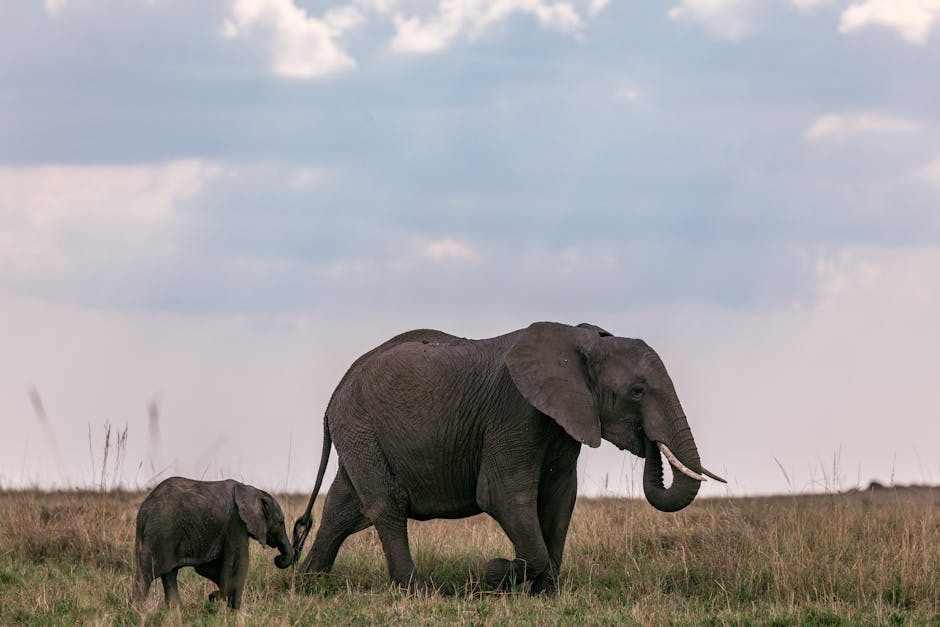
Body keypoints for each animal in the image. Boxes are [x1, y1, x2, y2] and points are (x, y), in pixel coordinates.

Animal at [129, 478, 290, 612]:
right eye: (280, 522)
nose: (279, 558)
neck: (251, 489)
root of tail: (142, 512)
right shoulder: (236, 523)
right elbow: (239, 562)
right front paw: (235, 613)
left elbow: (205, 568)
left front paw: (216, 597)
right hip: (162, 531)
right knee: (148, 572)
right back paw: (137, 612)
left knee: (169, 574)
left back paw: (176, 613)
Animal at [290, 322, 724, 596]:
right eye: (636, 391)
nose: (649, 443)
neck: (581, 341)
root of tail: (336, 391)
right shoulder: (515, 411)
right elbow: (502, 496)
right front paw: (493, 572)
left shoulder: (562, 420)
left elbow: (559, 500)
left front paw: (546, 596)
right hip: (361, 427)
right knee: (386, 506)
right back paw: (417, 593)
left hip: (360, 435)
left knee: (343, 508)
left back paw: (311, 584)